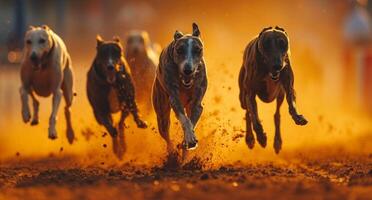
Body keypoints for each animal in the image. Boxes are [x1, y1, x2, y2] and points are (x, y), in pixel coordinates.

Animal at [153, 22, 208, 153]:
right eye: (179, 50)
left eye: (197, 50)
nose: (188, 70)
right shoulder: (174, 99)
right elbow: (185, 120)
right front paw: (189, 138)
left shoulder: (197, 104)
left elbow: (191, 121)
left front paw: (189, 140)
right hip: (162, 114)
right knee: (166, 135)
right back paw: (171, 151)